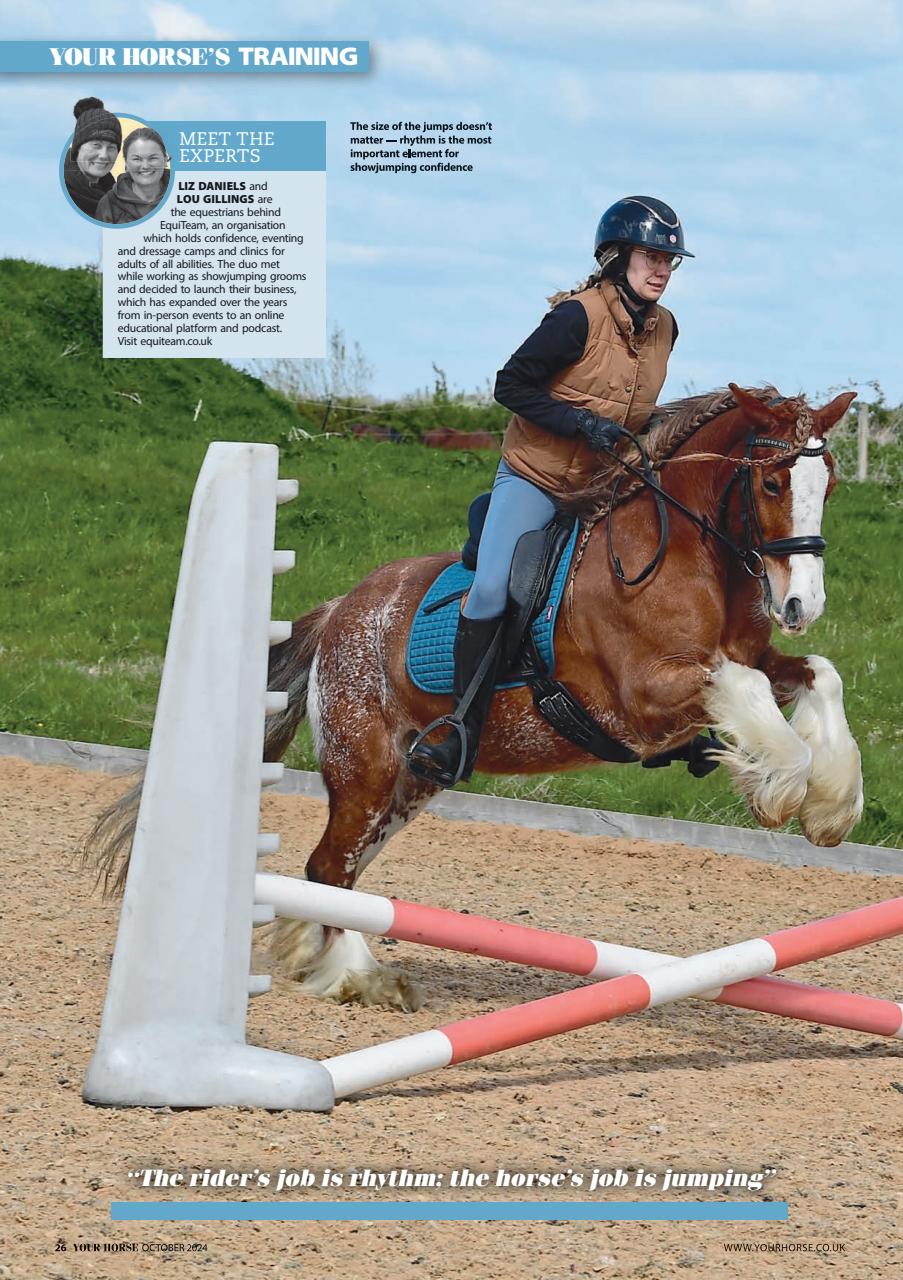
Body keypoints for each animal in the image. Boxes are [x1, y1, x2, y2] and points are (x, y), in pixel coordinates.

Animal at [87, 384, 862, 1013]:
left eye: (827, 482)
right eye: (770, 482)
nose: (801, 605)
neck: (688, 557)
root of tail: (339, 611)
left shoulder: (746, 661)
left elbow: (817, 673)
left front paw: (831, 804)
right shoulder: (641, 699)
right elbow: (751, 690)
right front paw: (785, 790)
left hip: (410, 784)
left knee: (337, 871)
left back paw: (323, 959)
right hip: (365, 770)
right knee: (328, 867)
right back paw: (359, 977)